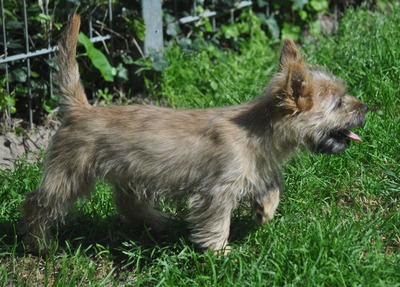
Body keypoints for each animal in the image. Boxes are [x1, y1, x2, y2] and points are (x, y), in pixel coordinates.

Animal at [21, 14, 366, 255]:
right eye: (338, 103)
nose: (365, 108)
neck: (257, 129)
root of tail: (81, 108)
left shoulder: (257, 170)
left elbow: (273, 187)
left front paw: (264, 212)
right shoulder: (216, 192)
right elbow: (217, 222)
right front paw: (221, 252)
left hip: (129, 172)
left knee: (127, 203)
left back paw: (159, 221)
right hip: (69, 175)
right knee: (37, 204)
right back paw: (40, 244)